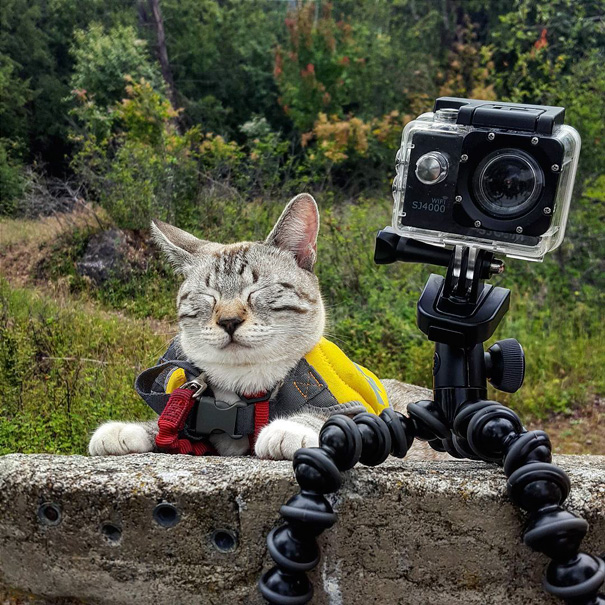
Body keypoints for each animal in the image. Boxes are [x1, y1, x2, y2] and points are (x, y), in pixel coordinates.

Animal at [88, 193, 438, 458]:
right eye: (208, 296)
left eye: (256, 291)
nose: (228, 321)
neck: (242, 399)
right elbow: (166, 424)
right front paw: (125, 429)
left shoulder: (369, 417)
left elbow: (326, 417)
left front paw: (287, 428)